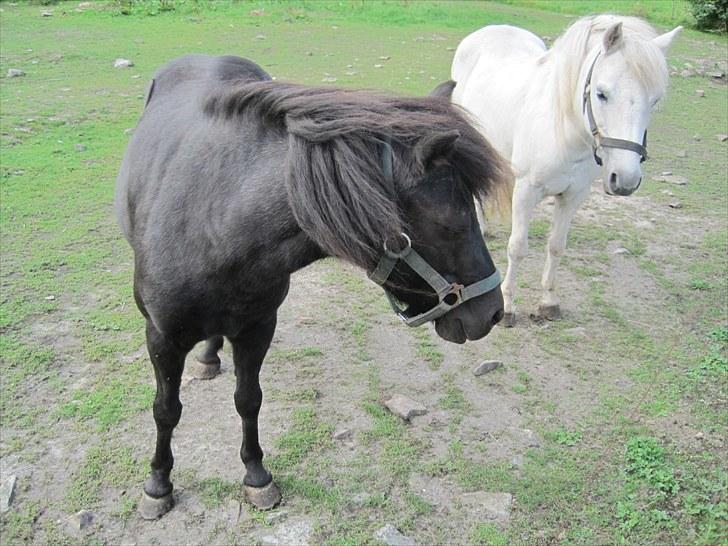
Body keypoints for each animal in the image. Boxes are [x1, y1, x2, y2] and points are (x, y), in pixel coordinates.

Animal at [116, 55, 510, 520]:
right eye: (452, 219)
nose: (493, 312)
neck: (212, 221)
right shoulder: (161, 338)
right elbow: (165, 411)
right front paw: (158, 484)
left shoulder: (257, 328)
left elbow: (249, 399)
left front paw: (256, 475)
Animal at [452, 15, 680, 324]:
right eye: (601, 94)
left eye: (654, 101)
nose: (626, 179)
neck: (564, 131)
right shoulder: (526, 191)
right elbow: (517, 248)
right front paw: (509, 306)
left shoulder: (574, 196)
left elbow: (556, 246)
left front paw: (548, 302)